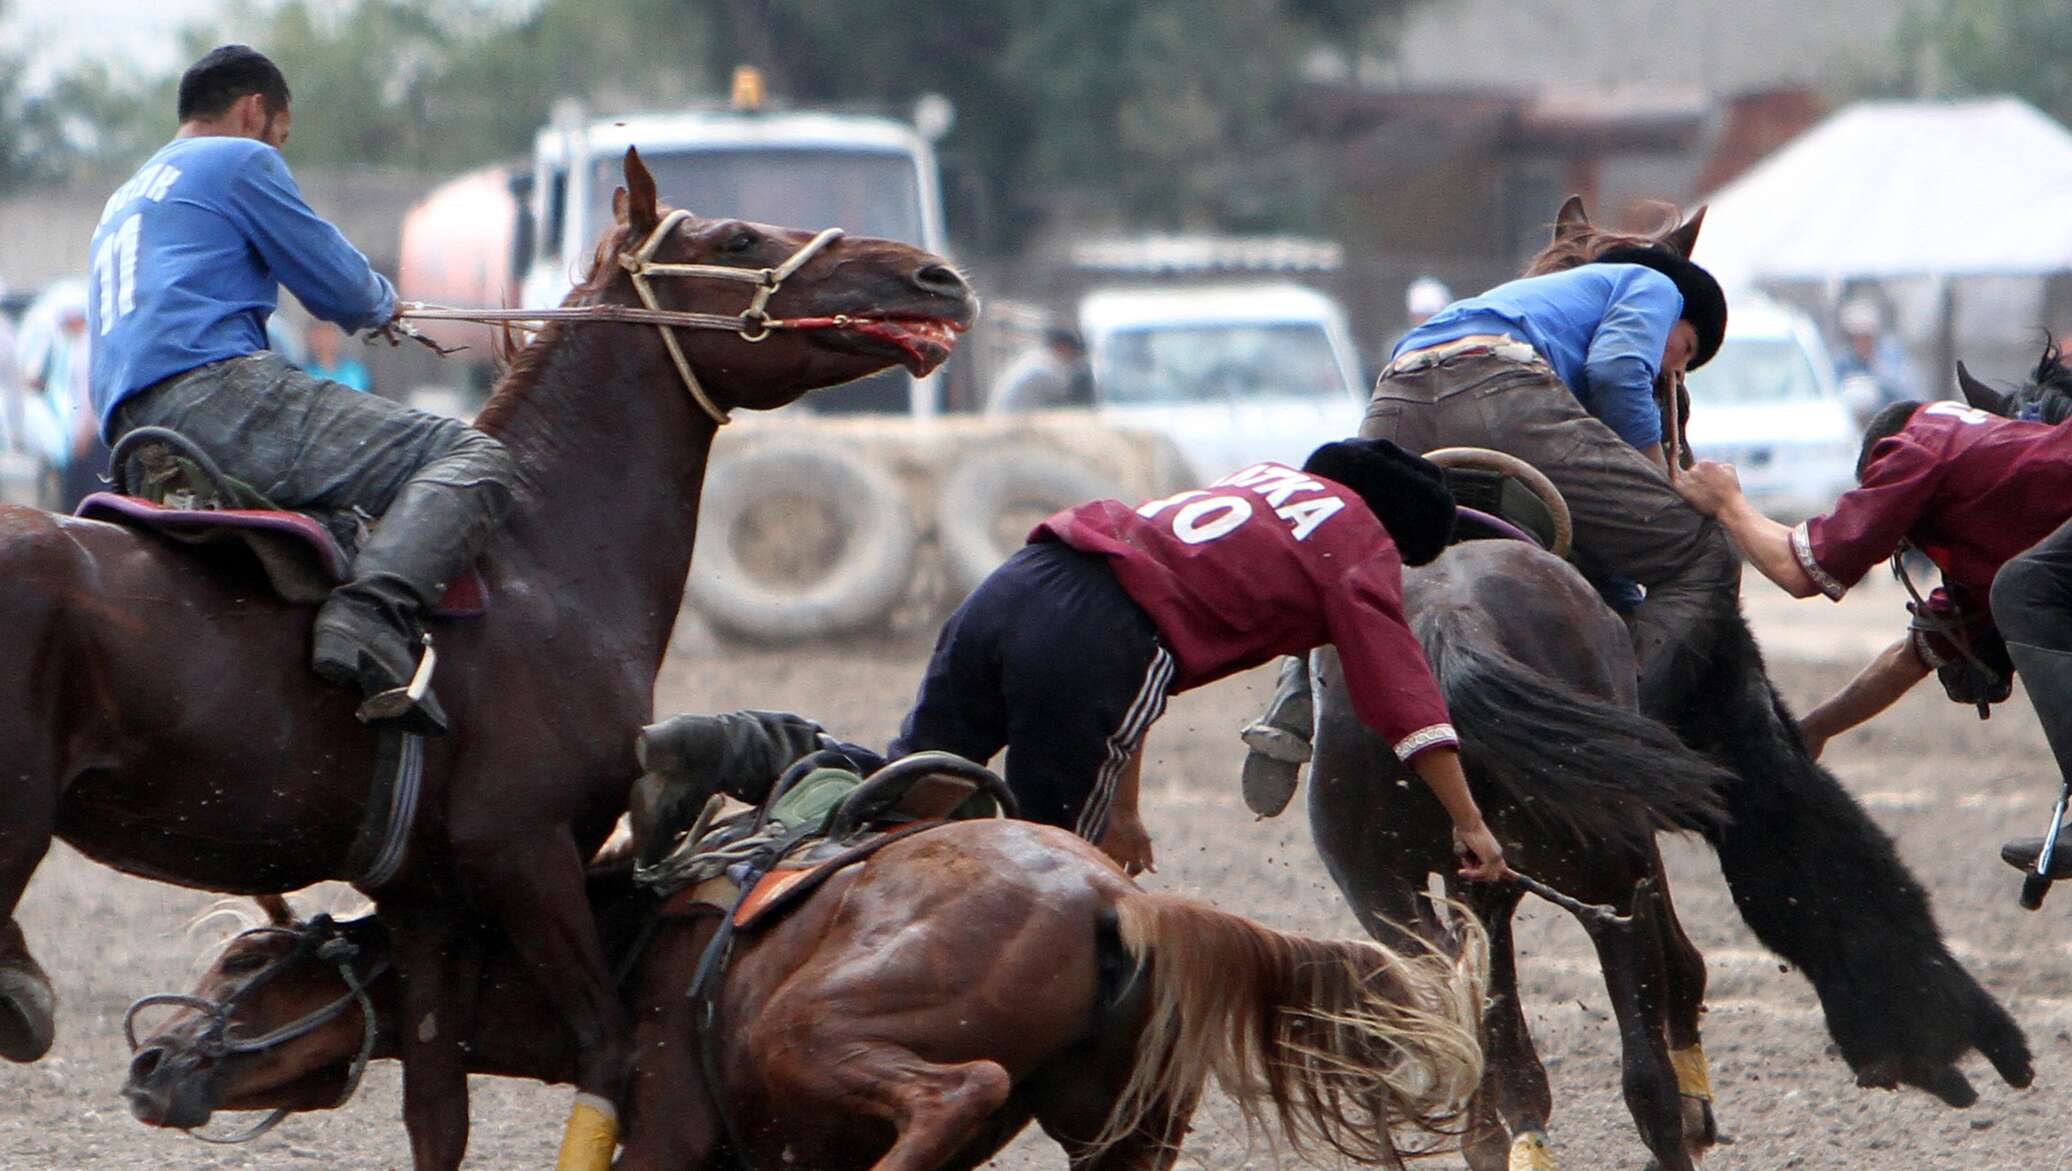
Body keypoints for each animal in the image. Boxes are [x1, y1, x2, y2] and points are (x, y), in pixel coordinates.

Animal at [0, 148, 977, 1168]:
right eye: (738, 238)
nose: (930, 275)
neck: (536, 557)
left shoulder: (428, 899)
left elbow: (439, 1101)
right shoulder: (526, 853)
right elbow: (605, 1048)